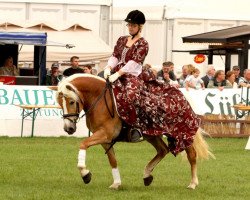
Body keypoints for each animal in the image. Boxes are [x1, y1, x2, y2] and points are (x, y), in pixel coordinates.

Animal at [54, 73, 213, 189]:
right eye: (59, 103)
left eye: (72, 102)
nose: (68, 128)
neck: (100, 100)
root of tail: (181, 95)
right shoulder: (105, 139)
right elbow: (113, 160)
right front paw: (116, 183)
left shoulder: (105, 134)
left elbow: (83, 144)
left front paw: (85, 173)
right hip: (152, 135)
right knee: (162, 150)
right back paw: (147, 175)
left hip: (180, 133)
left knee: (191, 155)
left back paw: (193, 183)